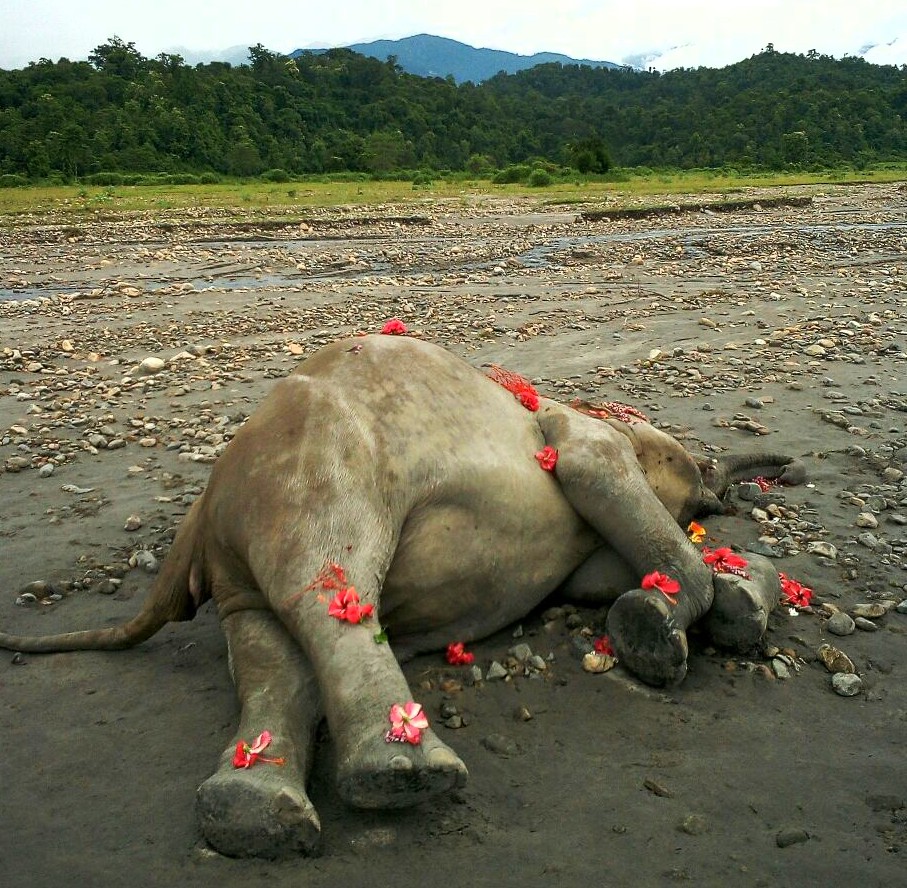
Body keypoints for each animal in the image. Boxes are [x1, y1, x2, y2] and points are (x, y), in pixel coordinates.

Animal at [0, 333, 803, 858]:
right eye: (696, 467)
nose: (780, 473)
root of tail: (203, 507)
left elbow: (597, 574)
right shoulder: (581, 437)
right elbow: (591, 467)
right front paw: (664, 628)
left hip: (240, 559)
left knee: (269, 646)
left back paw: (252, 816)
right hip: (317, 462)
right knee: (329, 583)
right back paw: (405, 777)